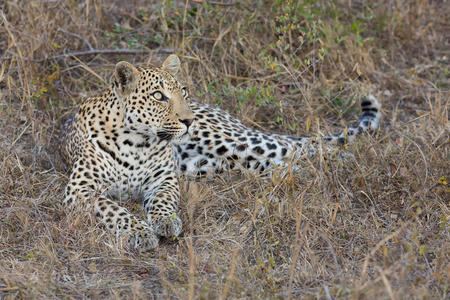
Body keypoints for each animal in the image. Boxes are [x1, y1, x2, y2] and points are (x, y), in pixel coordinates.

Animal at [58, 55, 382, 252]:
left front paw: (165, 222)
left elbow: (162, 201)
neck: (137, 142)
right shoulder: (81, 189)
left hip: (234, 142)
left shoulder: (165, 181)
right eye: (158, 96)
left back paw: (345, 169)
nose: (188, 120)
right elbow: (115, 210)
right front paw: (140, 232)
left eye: (183, 92)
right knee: (283, 163)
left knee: (297, 151)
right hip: (222, 164)